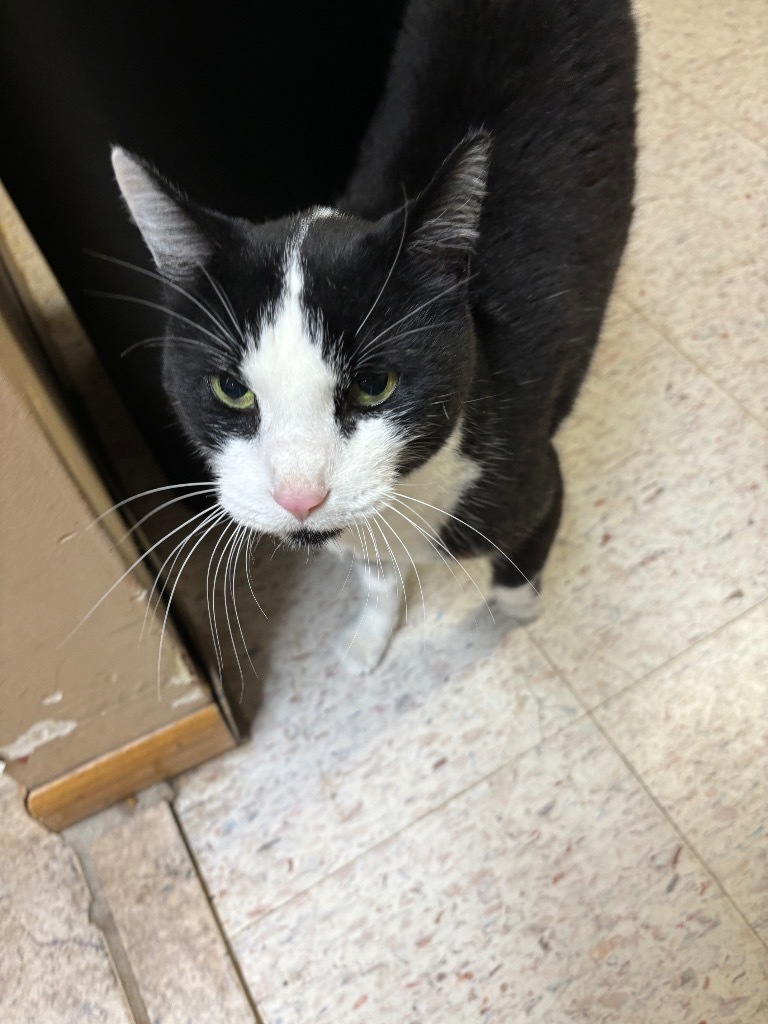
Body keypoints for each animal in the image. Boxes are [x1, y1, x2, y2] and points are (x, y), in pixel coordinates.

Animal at [109, 0, 638, 671]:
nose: (299, 497)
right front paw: (369, 634)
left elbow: (517, 567)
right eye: (231, 389)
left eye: (375, 384)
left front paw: (517, 614)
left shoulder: (530, 476)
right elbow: (377, 576)